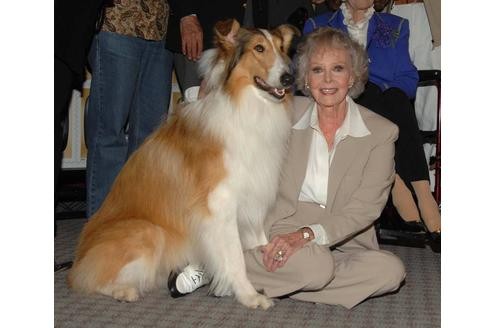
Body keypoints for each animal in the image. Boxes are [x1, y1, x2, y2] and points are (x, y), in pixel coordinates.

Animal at [67, 19, 298, 308]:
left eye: (282, 48)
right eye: (258, 48)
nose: (289, 78)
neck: (246, 106)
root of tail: (79, 257)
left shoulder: (253, 199)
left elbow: (259, 242)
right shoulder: (220, 206)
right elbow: (236, 259)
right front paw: (250, 296)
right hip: (148, 231)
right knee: (90, 278)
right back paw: (124, 291)